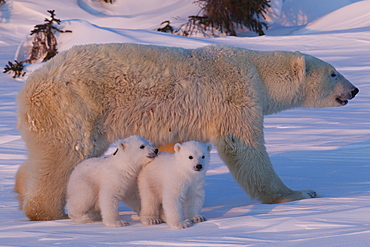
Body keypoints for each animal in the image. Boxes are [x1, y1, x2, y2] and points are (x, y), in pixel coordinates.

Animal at [15, 42, 358, 220]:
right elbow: (244, 146)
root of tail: (31, 85)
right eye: (333, 72)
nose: (354, 90)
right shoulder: (235, 95)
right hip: (73, 104)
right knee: (65, 155)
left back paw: (20, 190)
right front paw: (300, 193)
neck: (257, 71)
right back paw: (49, 212)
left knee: (46, 155)